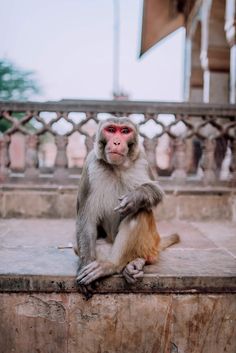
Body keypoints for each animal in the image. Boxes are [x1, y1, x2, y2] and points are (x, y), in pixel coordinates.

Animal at [75, 117, 179, 288]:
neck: (117, 167)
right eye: (111, 130)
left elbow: (156, 191)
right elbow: (87, 219)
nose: (117, 142)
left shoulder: (142, 159)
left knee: (139, 211)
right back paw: (126, 267)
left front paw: (135, 198)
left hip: (149, 244)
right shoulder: (90, 164)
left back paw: (117, 264)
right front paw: (86, 263)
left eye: (125, 131)